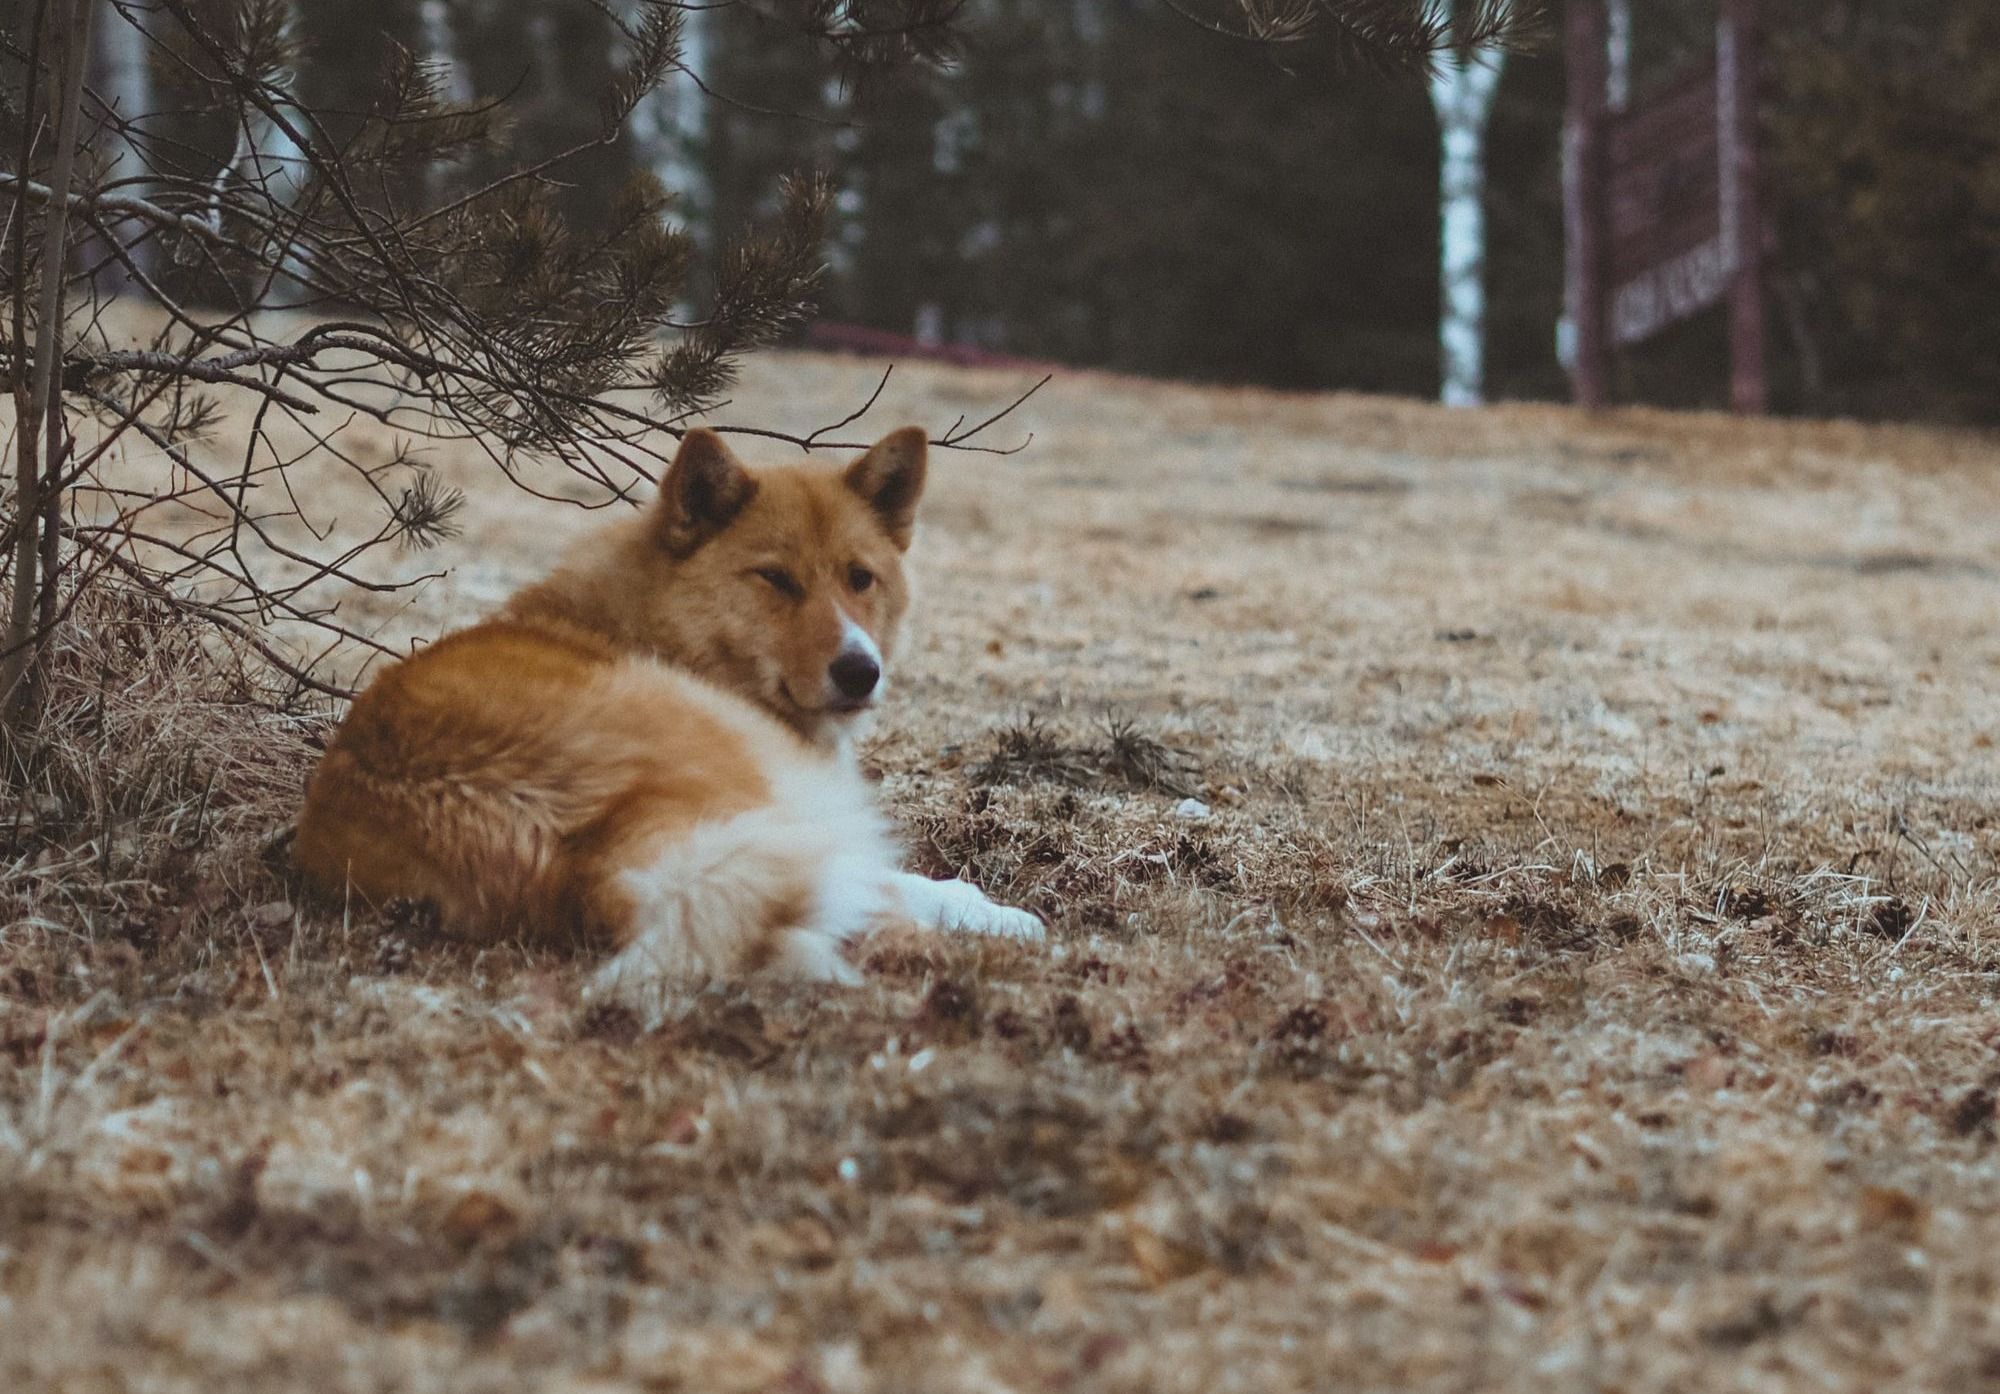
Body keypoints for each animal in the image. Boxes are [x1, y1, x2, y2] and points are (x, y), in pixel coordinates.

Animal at [293, 425, 1043, 1006]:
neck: (661, 627)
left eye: (860, 578)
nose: (861, 671)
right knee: (858, 880)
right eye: (776, 579)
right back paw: (988, 918)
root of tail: (572, 852)